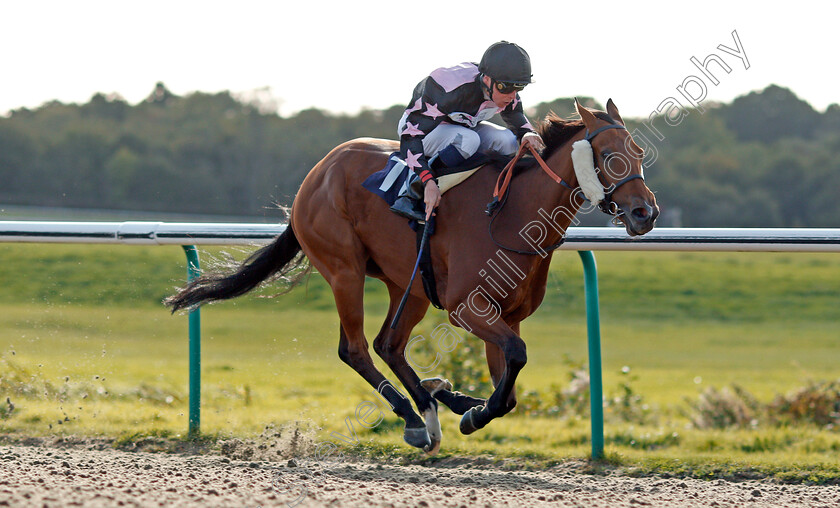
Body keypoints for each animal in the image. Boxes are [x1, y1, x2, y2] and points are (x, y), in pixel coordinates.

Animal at [164, 98, 660, 452]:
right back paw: (414, 418)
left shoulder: (507, 316)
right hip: (345, 271)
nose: (645, 213)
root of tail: (316, 174)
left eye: (638, 152)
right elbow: (514, 362)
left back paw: (435, 401)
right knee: (356, 349)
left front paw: (468, 407)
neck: (510, 213)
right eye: (609, 154)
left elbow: (510, 384)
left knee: (389, 344)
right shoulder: (467, 309)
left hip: (410, 286)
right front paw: (472, 414)